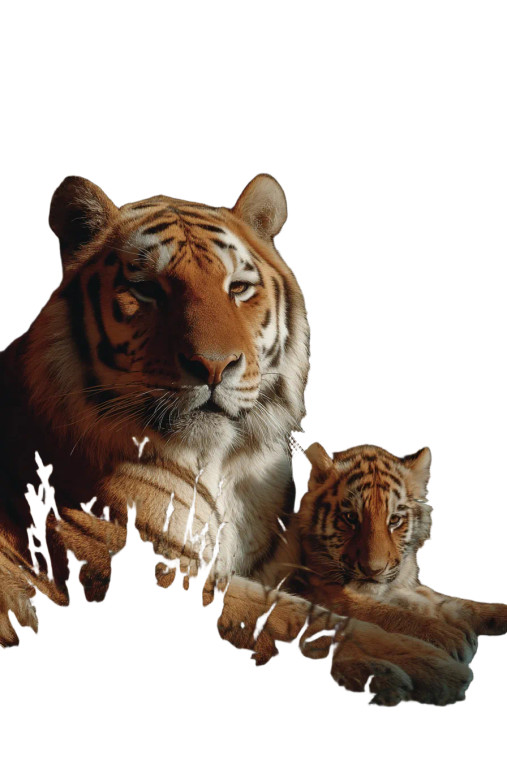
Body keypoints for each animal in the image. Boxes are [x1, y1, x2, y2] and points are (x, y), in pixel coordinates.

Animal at [0, 176, 472, 706]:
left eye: (238, 288)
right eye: (146, 290)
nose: (213, 366)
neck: (223, 462)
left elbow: (334, 597)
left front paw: (442, 622)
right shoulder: (159, 569)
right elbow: (293, 615)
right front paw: (421, 656)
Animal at [261, 441, 507, 662]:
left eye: (395, 520)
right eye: (351, 517)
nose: (373, 570)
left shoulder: (409, 587)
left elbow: (455, 602)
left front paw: (496, 613)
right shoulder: (324, 593)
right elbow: (391, 613)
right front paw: (451, 636)